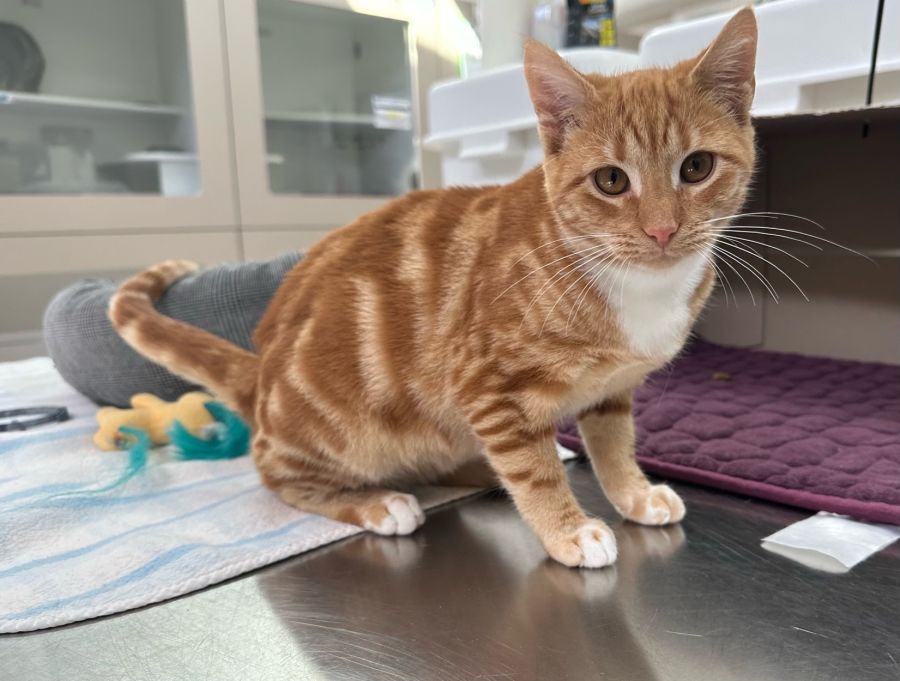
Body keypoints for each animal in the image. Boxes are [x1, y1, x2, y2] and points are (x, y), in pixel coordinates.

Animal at [109, 8, 757, 568]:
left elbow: (614, 445)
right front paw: (568, 530)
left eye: (696, 167)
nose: (662, 230)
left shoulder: (611, 391)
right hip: (336, 433)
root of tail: (261, 371)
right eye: (611, 181)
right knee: (274, 471)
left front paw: (633, 493)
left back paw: (485, 470)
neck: (630, 282)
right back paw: (376, 502)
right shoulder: (485, 384)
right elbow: (532, 470)